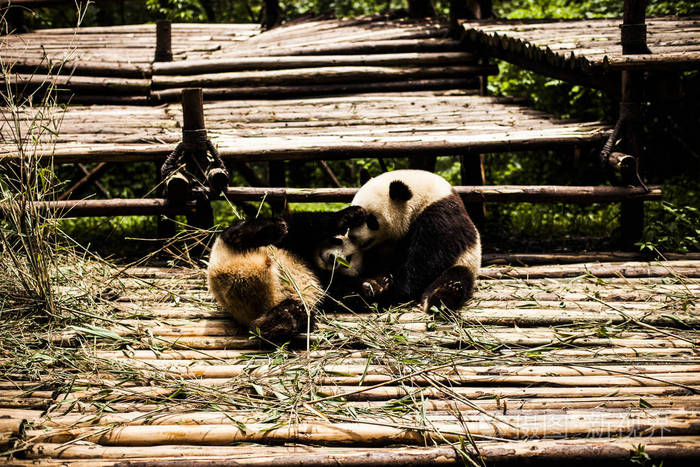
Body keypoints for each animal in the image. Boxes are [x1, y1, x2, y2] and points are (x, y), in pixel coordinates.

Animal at [208, 207, 366, 342]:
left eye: (348, 259)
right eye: (337, 241)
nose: (333, 258)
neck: (312, 258)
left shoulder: (327, 280)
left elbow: (340, 294)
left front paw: (369, 287)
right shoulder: (297, 241)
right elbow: (308, 225)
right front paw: (352, 215)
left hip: (284, 302)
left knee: (275, 319)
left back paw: (285, 320)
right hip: (227, 246)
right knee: (236, 233)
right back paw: (269, 229)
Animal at [350, 170, 482, 312]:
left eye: (371, 220)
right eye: (354, 218)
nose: (352, 236)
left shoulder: (439, 215)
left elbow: (426, 262)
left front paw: (388, 288)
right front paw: (376, 285)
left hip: (467, 261)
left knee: (457, 276)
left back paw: (445, 294)